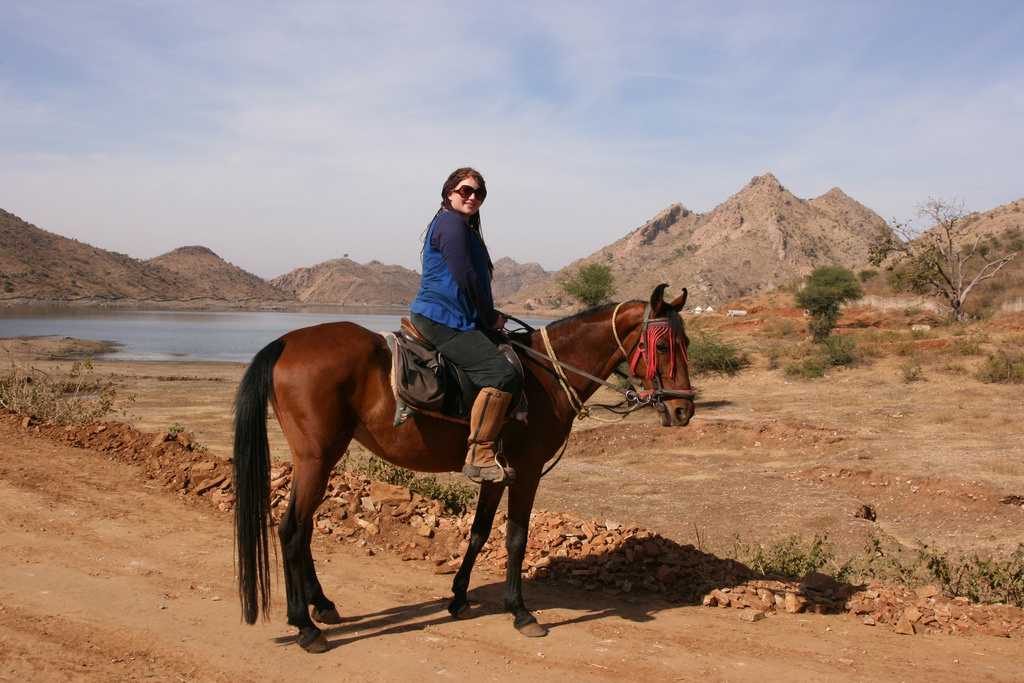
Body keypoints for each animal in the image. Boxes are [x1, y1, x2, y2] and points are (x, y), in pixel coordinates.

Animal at [233, 282, 696, 651]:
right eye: (661, 346)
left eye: (687, 343)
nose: (682, 410)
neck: (547, 375)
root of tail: (286, 344)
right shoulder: (526, 471)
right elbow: (515, 539)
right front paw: (520, 612)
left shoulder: (497, 472)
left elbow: (479, 533)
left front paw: (458, 598)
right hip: (317, 458)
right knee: (291, 528)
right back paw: (305, 626)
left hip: (319, 459)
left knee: (304, 527)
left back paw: (323, 605)